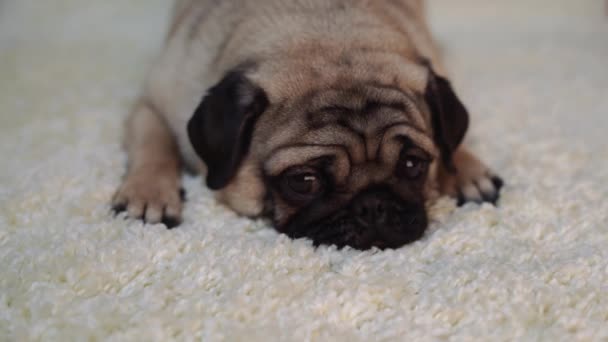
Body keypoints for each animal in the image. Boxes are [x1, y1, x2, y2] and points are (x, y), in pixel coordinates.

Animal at [111, 0, 502, 250]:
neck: (321, 36)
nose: (373, 204)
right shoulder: (153, 103)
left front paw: (465, 169)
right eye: (304, 182)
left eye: (412, 165)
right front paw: (148, 193)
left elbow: (450, 137)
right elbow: (153, 143)